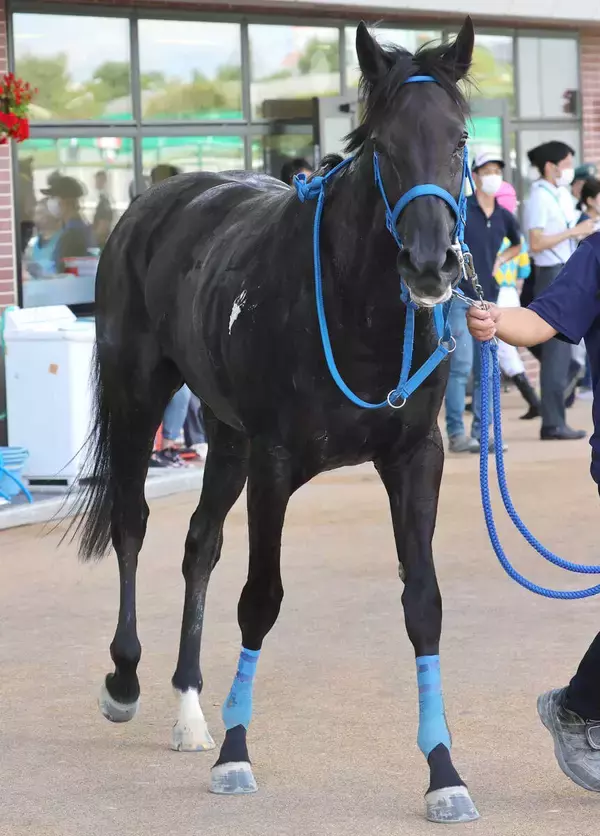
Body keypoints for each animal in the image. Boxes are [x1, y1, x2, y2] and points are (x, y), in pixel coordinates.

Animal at [74, 19, 477, 824]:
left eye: (457, 140)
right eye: (384, 145)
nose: (430, 265)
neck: (356, 309)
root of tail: (155, 200)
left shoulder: (415, 456)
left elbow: (422, 602)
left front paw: (443, 771)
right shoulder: (277, 461)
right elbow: (260, 599)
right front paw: (236, 753)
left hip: (225, 434)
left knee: (200, 544)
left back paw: (190, 707)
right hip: (139, 395)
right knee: (132, 523)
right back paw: (127, 679)